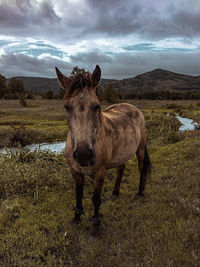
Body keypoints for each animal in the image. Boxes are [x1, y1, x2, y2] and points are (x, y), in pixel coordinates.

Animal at [55, 66, 152, 236]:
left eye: (96, 106)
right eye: (66, 107)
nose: (84, 154)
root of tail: (131, 106)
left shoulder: (100, 172)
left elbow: (95, 199)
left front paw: (95, 226)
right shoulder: (75, 171)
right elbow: (78, 195)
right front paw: (76, 219)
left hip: (140, 148)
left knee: (141, 167)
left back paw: (140, 193)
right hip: (121, 153)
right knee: (121, 169)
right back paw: (115, 193)